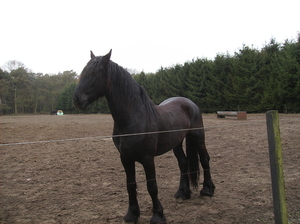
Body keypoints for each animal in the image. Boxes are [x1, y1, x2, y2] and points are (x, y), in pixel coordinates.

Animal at [73, 50, 214, 224]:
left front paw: (158, 215)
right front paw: (132, 214)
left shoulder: (147, 159)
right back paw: (182, 193)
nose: (76, 99)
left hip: (197, 137)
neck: (134, 118)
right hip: (176, 143)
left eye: (93, 73)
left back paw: (208, 190)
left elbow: (152, 186)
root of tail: (189, 103)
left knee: (205, 159)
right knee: (183, 162)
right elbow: (130, 185)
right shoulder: (125, 158)